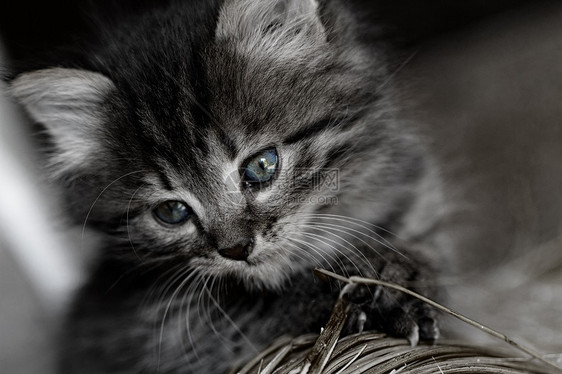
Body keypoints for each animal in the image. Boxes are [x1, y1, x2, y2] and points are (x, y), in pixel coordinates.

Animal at [7, 0, 438, 374]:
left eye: (262, 166)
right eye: (172, 212)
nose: (235, 249)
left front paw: (389, 277)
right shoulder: (150, 325)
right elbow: (238, 314)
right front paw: (351, 294)